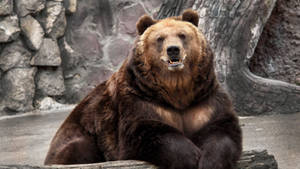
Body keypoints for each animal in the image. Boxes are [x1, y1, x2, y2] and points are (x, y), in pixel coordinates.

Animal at [44, 9, 241, 169]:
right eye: (160, 38)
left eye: (182, 35)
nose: (173, 50)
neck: (177, 89)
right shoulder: (140, 98)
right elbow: (147, 131)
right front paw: (190, 158)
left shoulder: (203, 100)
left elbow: (221, 129)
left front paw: (210, 161)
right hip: (81, 135)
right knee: (76, 150)